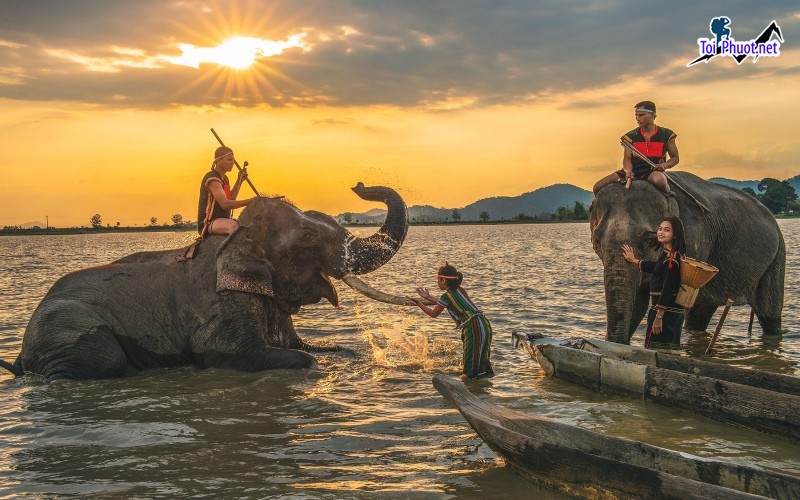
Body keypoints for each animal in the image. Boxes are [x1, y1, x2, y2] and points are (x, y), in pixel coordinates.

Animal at [0, 182, 410, 380]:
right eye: (308, 239)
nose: (358, 184)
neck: (238, 237)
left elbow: (313, 347)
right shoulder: (221, 302)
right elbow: (227, 352)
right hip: (67, 331)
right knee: (96, 364)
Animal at [592, 172, 784, 344]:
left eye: (649, 239)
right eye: (597, 239)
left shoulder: (693, 239)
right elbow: (638, 303)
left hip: (776, 258)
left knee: (769, 315)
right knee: (700, 313)